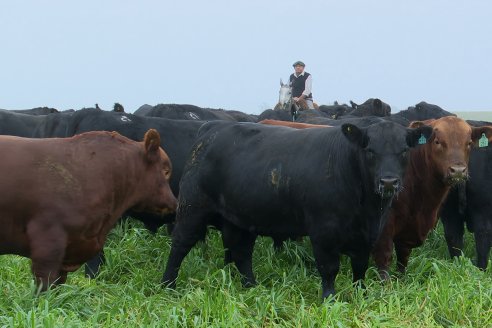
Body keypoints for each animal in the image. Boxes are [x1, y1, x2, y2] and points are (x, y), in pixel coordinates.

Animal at [161, 119, 430, 298]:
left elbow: (360, 268)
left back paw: (251, 287)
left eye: (404, 150)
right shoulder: (323, 232)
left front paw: (360, 295)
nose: (389, 182)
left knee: (241, 253)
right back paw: (167, 286)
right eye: (370, 150)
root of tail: (211, 128)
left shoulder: (367, 235)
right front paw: (330, 300)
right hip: (192, 207)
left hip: (241, 218)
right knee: (180, 245)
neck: (367, 210)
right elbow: (329, 268)